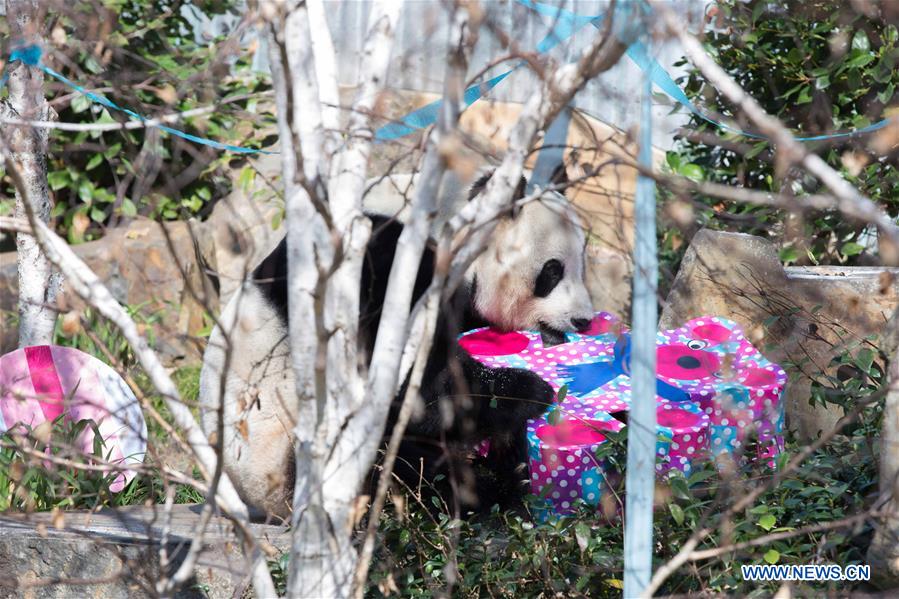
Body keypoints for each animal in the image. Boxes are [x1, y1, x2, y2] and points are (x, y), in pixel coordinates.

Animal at [198, 166, 596, 520]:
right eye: (552, 271)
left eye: (583, 266)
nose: (584, 320)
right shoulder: (376, 263)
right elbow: (410, 383)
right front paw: (529, 391)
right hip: (278, 454)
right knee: (390, 450)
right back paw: (483, 493)